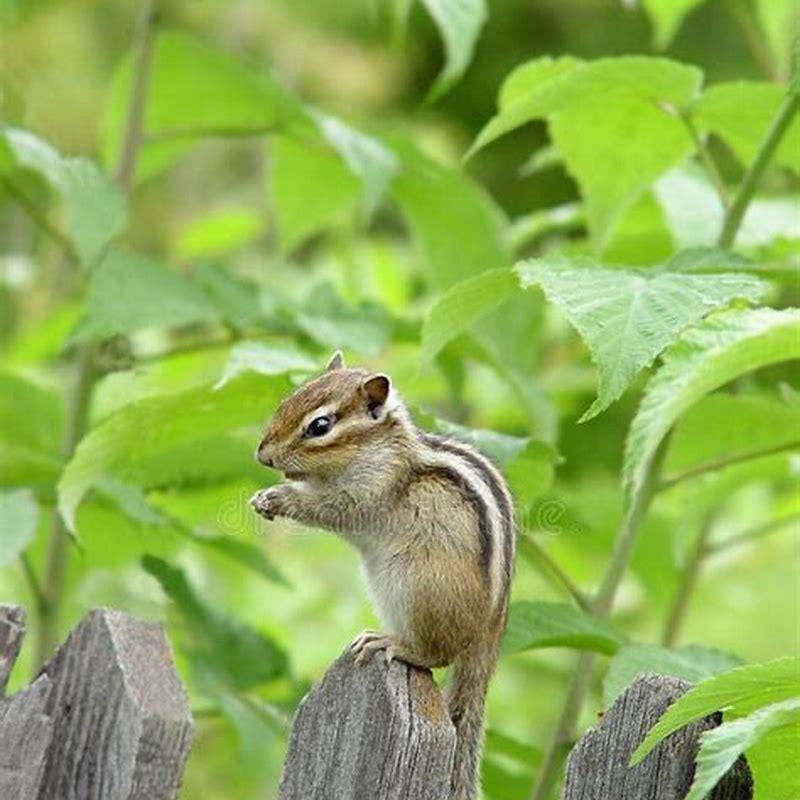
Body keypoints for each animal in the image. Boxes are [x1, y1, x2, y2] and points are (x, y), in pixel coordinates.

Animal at [250, 351, 516, 800]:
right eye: (289, 399)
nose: (263, 456)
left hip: (415, 586)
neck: (378, 449)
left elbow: (331, 507)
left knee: (438, 654)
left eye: (319, 426)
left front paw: (281, 498)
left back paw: (392, 643)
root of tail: (489, 634)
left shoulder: (367, 491)